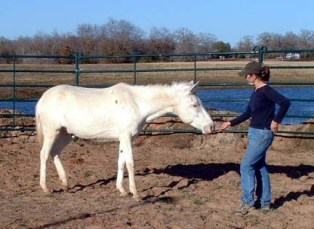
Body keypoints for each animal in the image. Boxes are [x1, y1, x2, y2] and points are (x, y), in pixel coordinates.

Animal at [35, 80, 215, 200]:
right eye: (194, 105)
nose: (212, 127)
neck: (137, 103)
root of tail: (43, 98)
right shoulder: (126, 137)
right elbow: (130, 163)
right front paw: (135, 193)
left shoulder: (123, 138)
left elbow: (121, 162)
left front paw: (121, 190)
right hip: (52, 132)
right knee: (44, 154)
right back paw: (45, 188)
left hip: (65, 133)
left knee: (55, 153)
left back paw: (65, 184)